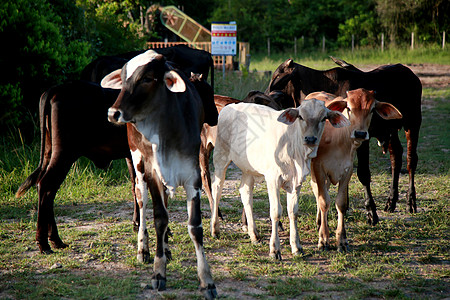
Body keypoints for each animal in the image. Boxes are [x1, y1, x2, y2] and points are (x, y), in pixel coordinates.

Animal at [15, 81, 137, 254]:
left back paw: (55, 240)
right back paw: (44, 244)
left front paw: (137, 225)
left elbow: (136, 187)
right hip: (64, 154)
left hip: (49, 152)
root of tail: (55, 89)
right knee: (46, 185)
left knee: (45, 189)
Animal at [105, 50, 218, 298]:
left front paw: (207, 280)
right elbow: (159, 218)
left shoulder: (192, 175)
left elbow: (194, 225)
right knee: (142, 201)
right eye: (124, 79)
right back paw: (144, 248)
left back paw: (165, 247)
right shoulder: (153, 172)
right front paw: (158, 272)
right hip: (138, 163)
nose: (112, 112)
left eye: (147, 78)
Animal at [209, 98, 350, 260]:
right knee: (217, 189)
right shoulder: (272, 179)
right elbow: (276, 212)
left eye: (323, 118)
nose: (310, 139)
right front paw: (275, 249)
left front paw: (296, 247)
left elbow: (293, 211)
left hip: (248, 168)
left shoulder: (296, 182)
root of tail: (230, 107)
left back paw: (254, 235)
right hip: (220, 157)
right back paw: (215, 229)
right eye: (300, 117)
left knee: (245, 192)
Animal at [266, 58, 420, 225]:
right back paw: (391, 202)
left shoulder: (363, 141)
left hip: (413, 123)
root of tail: (409, 73)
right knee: (395, 157)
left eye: (277, 76)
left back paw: (411, 201)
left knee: (411, 160)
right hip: (391, 131)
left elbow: (363, 173)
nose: (268, 95)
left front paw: (371, 212)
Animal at [308, 88, 402, 251]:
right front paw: (324, 239)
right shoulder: (318, 168)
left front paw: (342, 240)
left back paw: (320, 221)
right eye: (349, 108)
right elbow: (324, 201)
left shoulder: (348, 170)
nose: (360, 133)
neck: (339, 139)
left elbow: (341, 203)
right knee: (317, 192)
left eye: (372, 109)